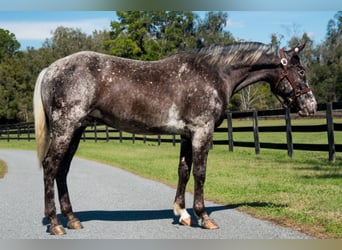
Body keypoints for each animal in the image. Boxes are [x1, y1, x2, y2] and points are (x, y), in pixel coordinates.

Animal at [33, 42, 316, 235]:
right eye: (301, 71)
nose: (311, 106)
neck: (215, 74)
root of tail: (49, 69)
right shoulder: (202, 132)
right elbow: (200, 173)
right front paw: (204, 217)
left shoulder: (187, 135)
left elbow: (183, 171)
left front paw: (182, 213)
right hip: (66, 129)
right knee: (50, 166)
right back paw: (55, 223)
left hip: (76, 131)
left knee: (62, 170)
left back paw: (72, 219)